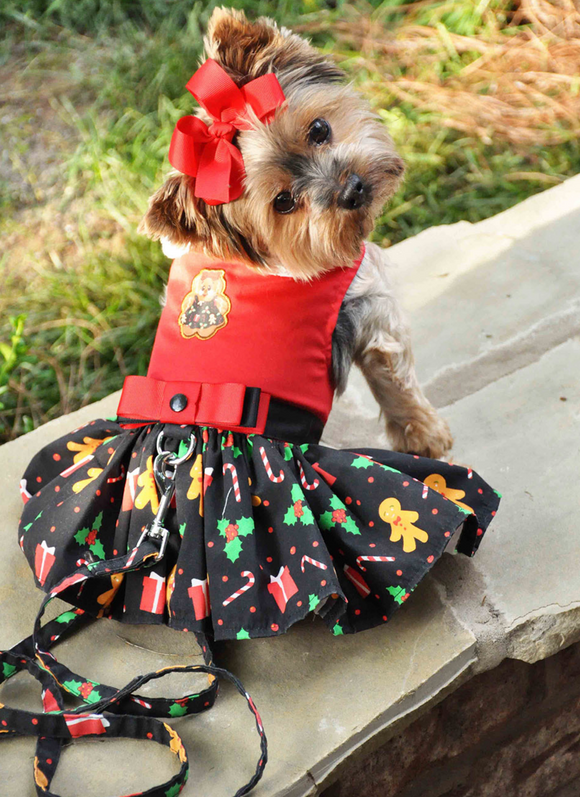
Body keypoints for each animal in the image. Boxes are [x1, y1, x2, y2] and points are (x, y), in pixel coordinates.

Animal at [140, 6, 454, 458]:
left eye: (319, 129)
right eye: (284, 202)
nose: (353, 189)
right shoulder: (372, 312)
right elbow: (397, 382)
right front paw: (427, 437)